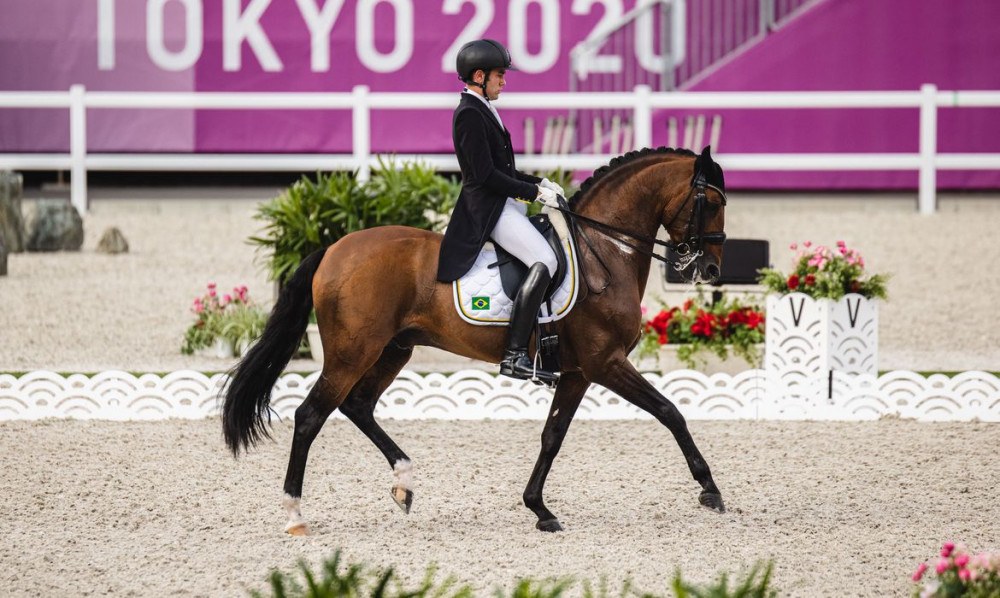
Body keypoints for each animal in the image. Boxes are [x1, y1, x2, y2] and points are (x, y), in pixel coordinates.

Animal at [225, 146, 728, 540]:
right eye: (711, 202)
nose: (711, 270)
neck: (603, 249)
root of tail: (333, 249)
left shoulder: (577, 372)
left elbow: (552, 436)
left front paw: (539, 509)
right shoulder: (606, 362)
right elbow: (669, 411)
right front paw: (710, 489)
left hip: (393, 350)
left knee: (358, 406)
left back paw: (405, 483)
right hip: (353, 353)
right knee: (311, 415)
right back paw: (295, 515)